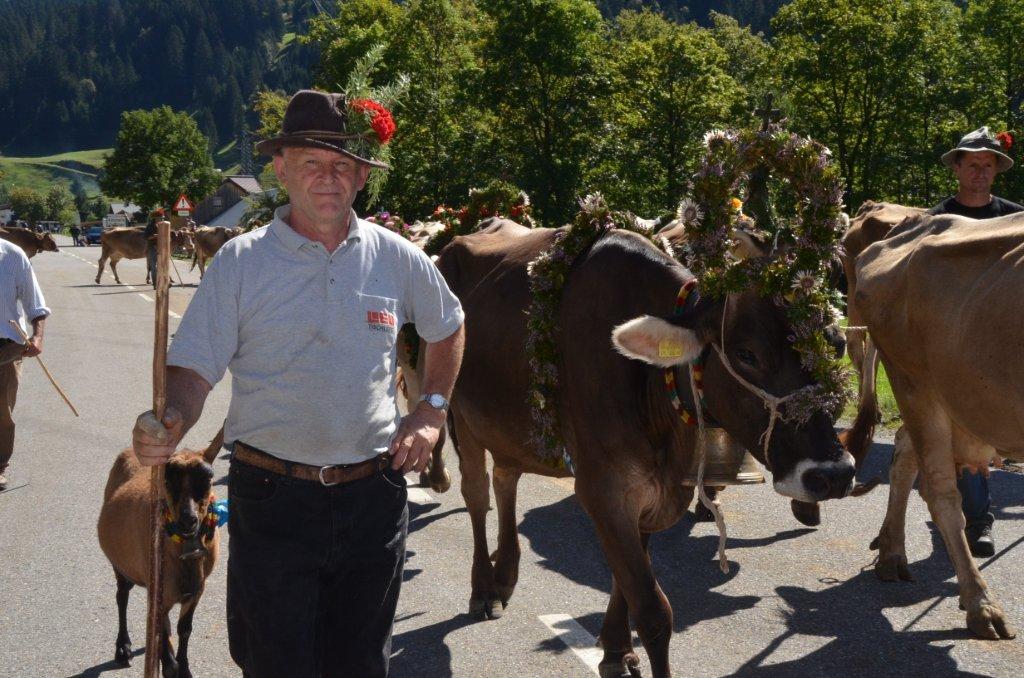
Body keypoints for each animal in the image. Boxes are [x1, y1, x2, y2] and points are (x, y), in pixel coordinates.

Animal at [436, 218, 856, 677]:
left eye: (834, 344)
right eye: (747, 354)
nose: (833, 474)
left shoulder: (651, 489)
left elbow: (625, 580)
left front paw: (615, 650)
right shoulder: (603, 489)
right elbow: (654, 611)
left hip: (506, 425)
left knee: (506, 478)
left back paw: (506, 573)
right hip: (460, 414)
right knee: (477, 495)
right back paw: (484, 589)